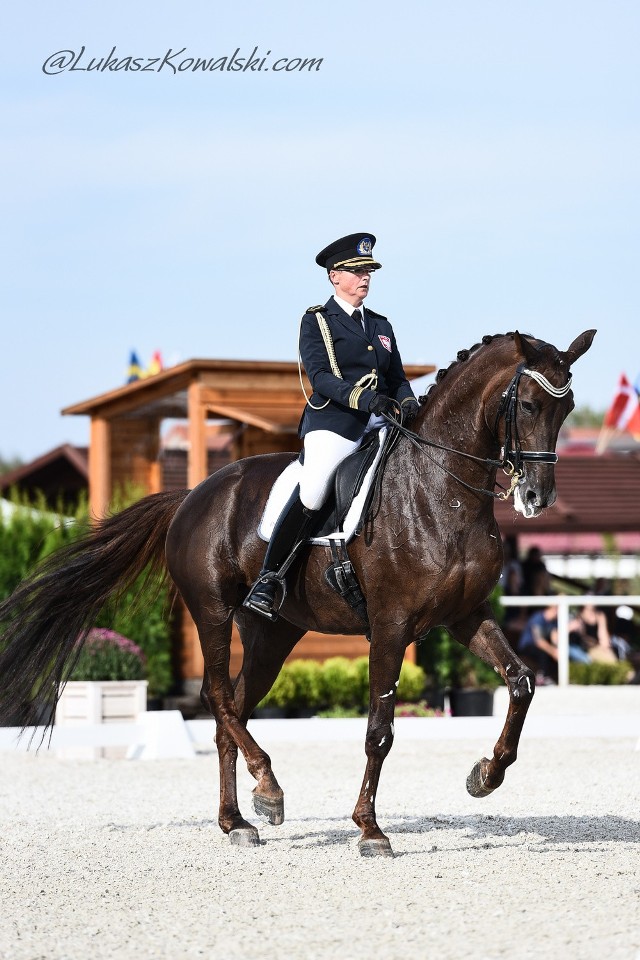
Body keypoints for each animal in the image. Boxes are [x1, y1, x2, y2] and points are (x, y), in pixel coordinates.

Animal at [0, 328, 596, 856]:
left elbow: (521, 684)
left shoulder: (465, 615)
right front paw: (370, 830)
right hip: (212, 612)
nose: (537, 497)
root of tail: (192, 495)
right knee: (218, 698)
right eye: (527, 406)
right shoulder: (391, 626)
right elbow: (379, 729)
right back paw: (268, 789)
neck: (441, 488)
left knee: (234, 710)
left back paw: (237, 820)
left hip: (272, 634)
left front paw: (485, 775)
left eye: (566, 410)